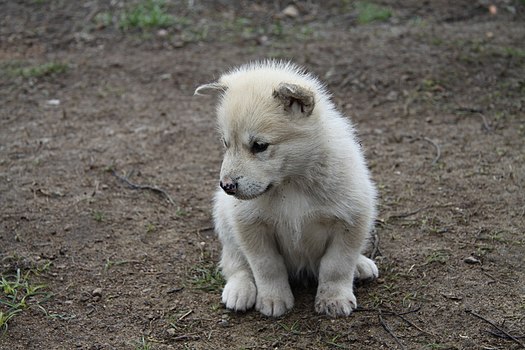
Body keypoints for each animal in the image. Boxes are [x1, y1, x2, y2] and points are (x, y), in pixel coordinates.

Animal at [195, 60, 376, 318]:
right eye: (225, 143)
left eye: (259, 146)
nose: (226, 186)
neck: (291, 184)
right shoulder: (250, 225)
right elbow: (267, 266)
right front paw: (274, 299)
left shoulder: (351, 220)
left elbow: (337, 264)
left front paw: (334, 298)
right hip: (225, 220)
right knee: (234, 262)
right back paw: (239, 290)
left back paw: (361, 264)